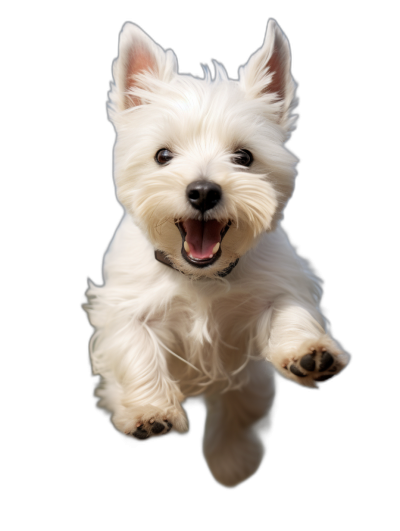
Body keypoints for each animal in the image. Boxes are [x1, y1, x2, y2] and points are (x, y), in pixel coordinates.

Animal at [85, 18, 350, 488]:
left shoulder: (279, 284)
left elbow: (285, 320)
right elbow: (137, 350)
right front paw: (150, 411)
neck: (201, 274)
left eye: (244, 156)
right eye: (163, 155)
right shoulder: (126, 305)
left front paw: (232, 461)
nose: (204, 191)